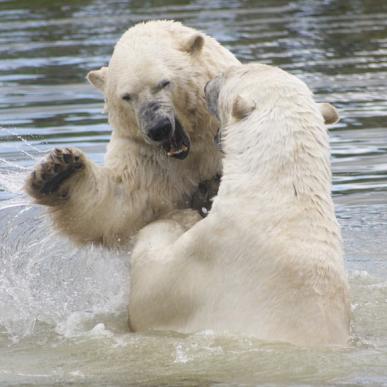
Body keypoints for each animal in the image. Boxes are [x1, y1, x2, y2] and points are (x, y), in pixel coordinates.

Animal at [23, 20, 239, 246]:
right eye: (127, 96)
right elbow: (119, 203)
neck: (195, 142)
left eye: (164, 83)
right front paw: (57, 171)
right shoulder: (147, 158)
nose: (158, 128)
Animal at [128, 64, 352, 348]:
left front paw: (180, 216)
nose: (208, 83)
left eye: (233, 73)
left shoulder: (209, 259)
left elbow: (148, 292)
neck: (276, 197)